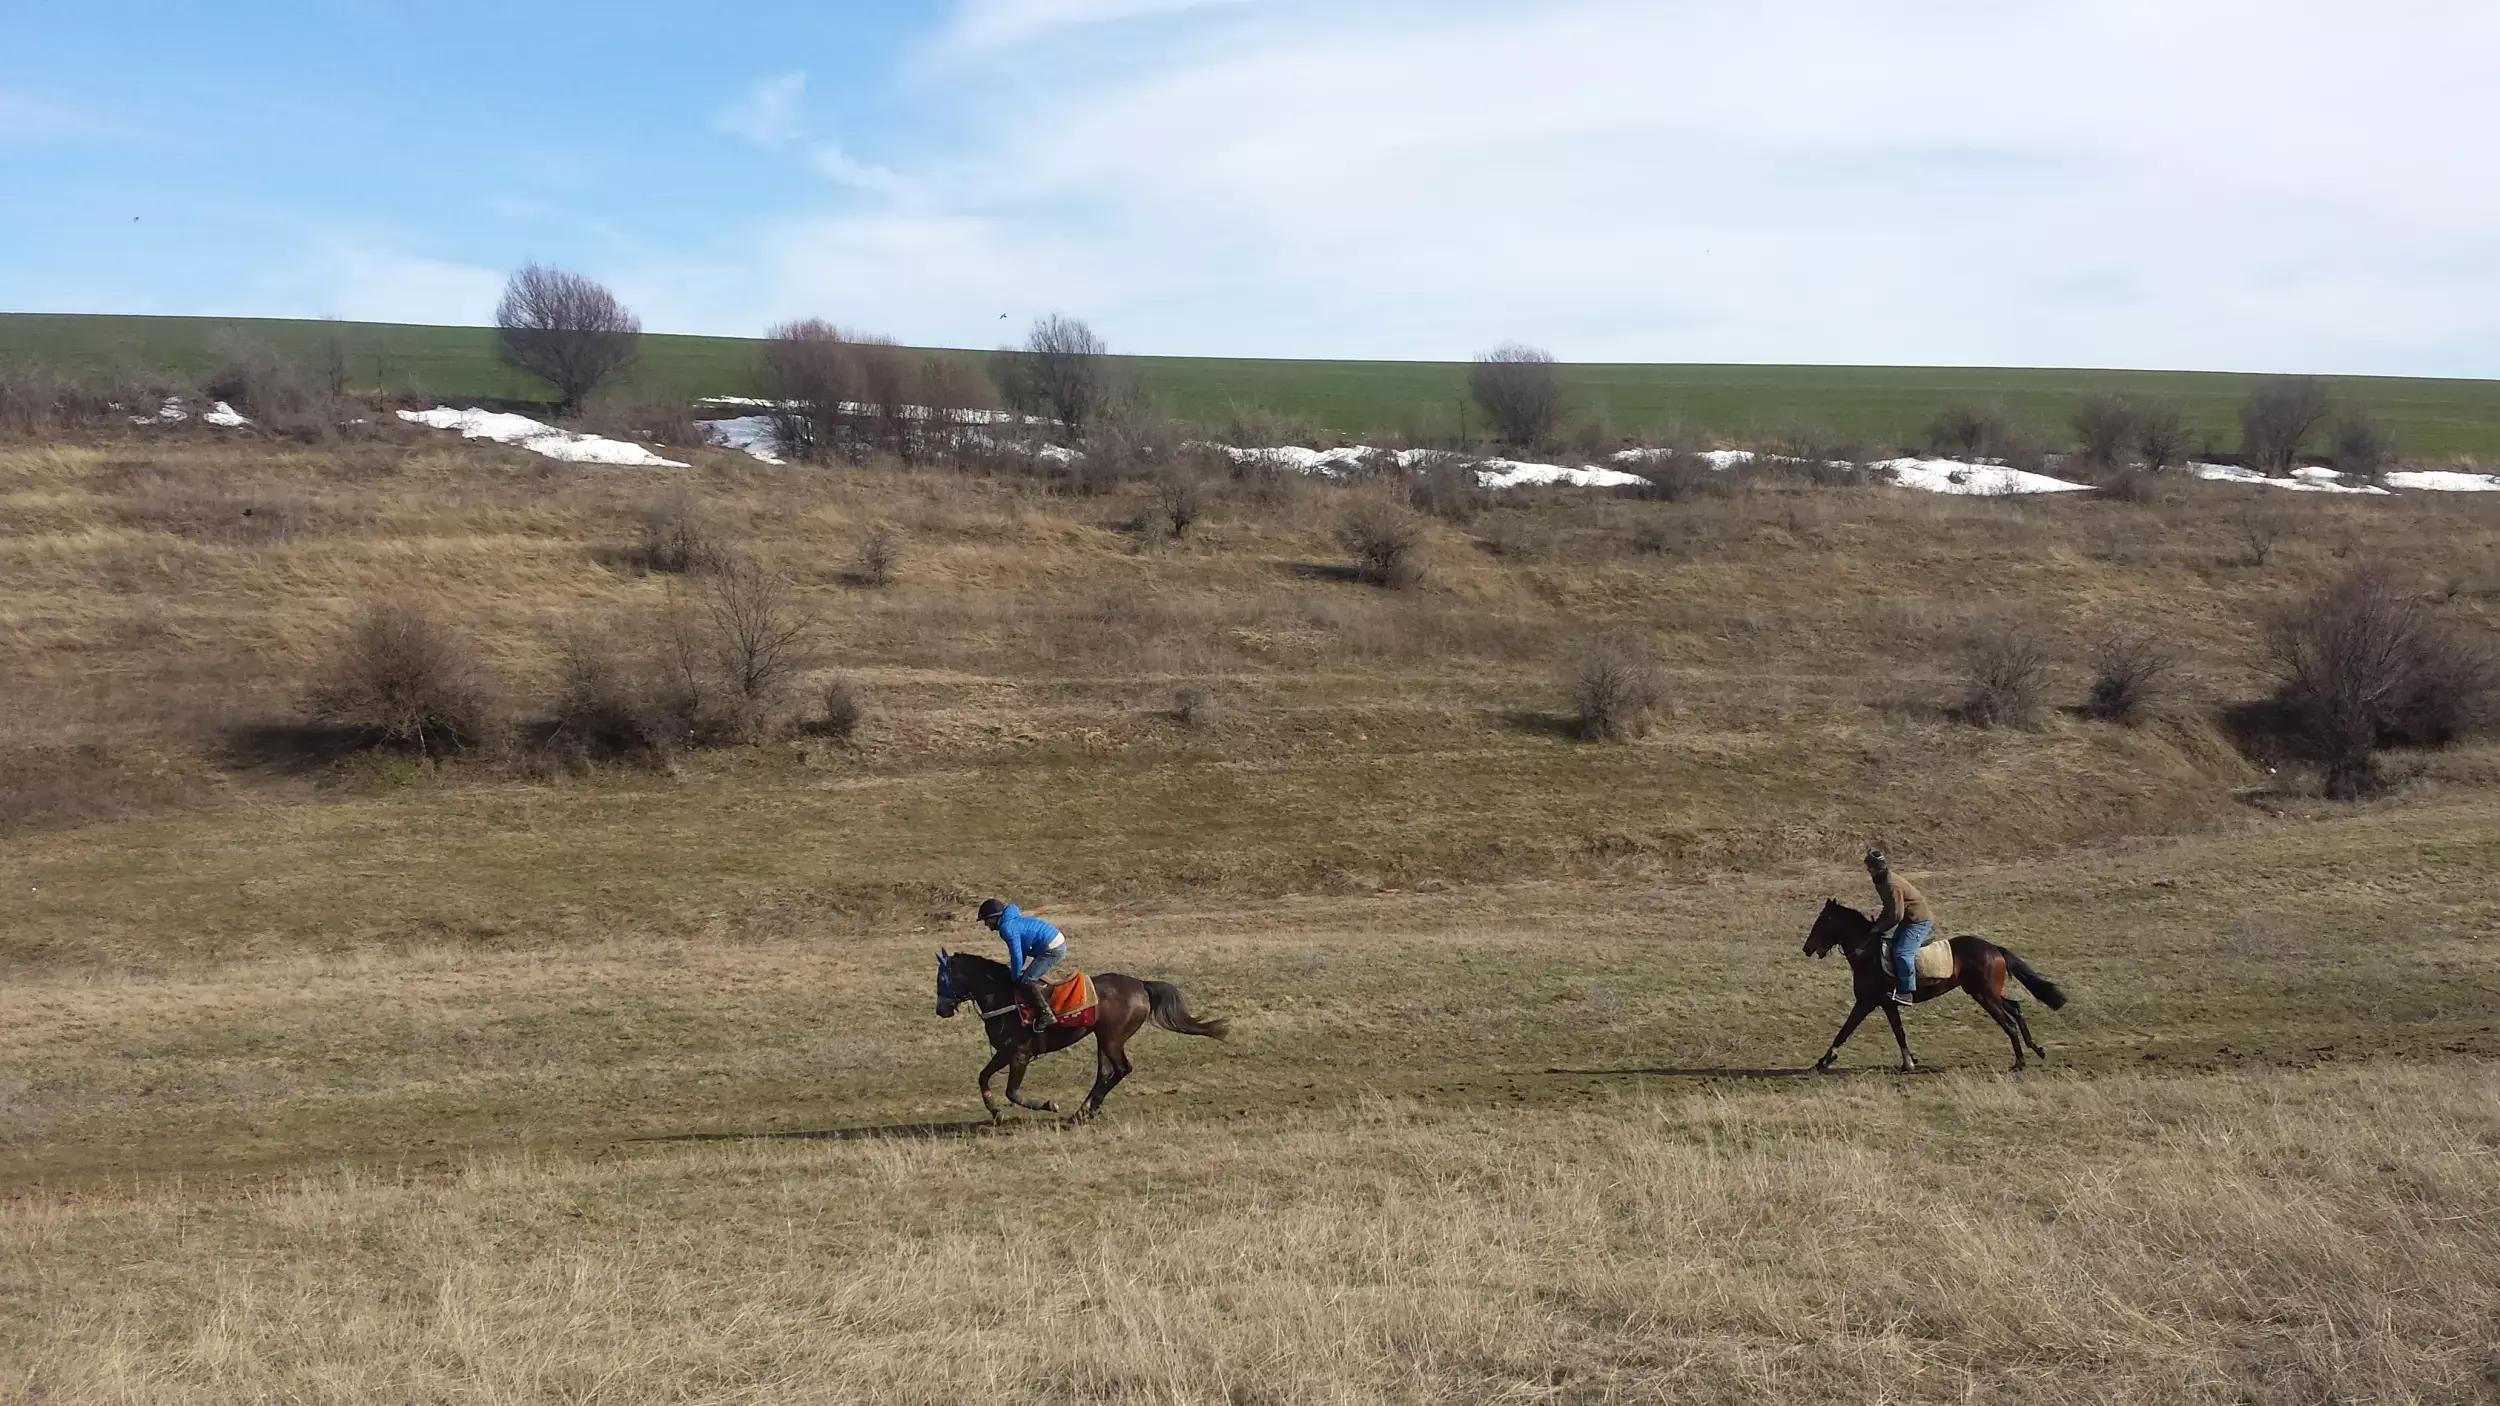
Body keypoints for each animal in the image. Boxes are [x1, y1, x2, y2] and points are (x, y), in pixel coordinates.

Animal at [940, 945, 1230, 1120]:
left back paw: (1084, 1111)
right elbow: (982, 1077)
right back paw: (1084, 1110)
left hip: (1112, 1038)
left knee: (1121, 1069)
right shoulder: (1004, 1052)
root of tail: (1140, 984)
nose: (941, 1010)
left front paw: (1049, 1104)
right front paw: (995, 1112)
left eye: (942, 979)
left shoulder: (1019, 1054)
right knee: (1106, 1073)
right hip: (1102, 1038)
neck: (1002, 997)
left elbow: (1012, 1092)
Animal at [1800, 895, 2070, 1070]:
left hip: (1984, 995)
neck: (1868, 953)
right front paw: (1909, 1062)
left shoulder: (1866, 1003)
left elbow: (1845, 1030)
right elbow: (1899, 1033)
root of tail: (1994, 949)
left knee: (2009, 1022)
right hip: (1984, 992)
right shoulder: (1887, 1004)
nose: (1806, 949)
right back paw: (2037, 1049)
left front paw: (1824, 1060)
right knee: (2015, 1007)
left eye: (1822, 922)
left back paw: (2019, 1062)